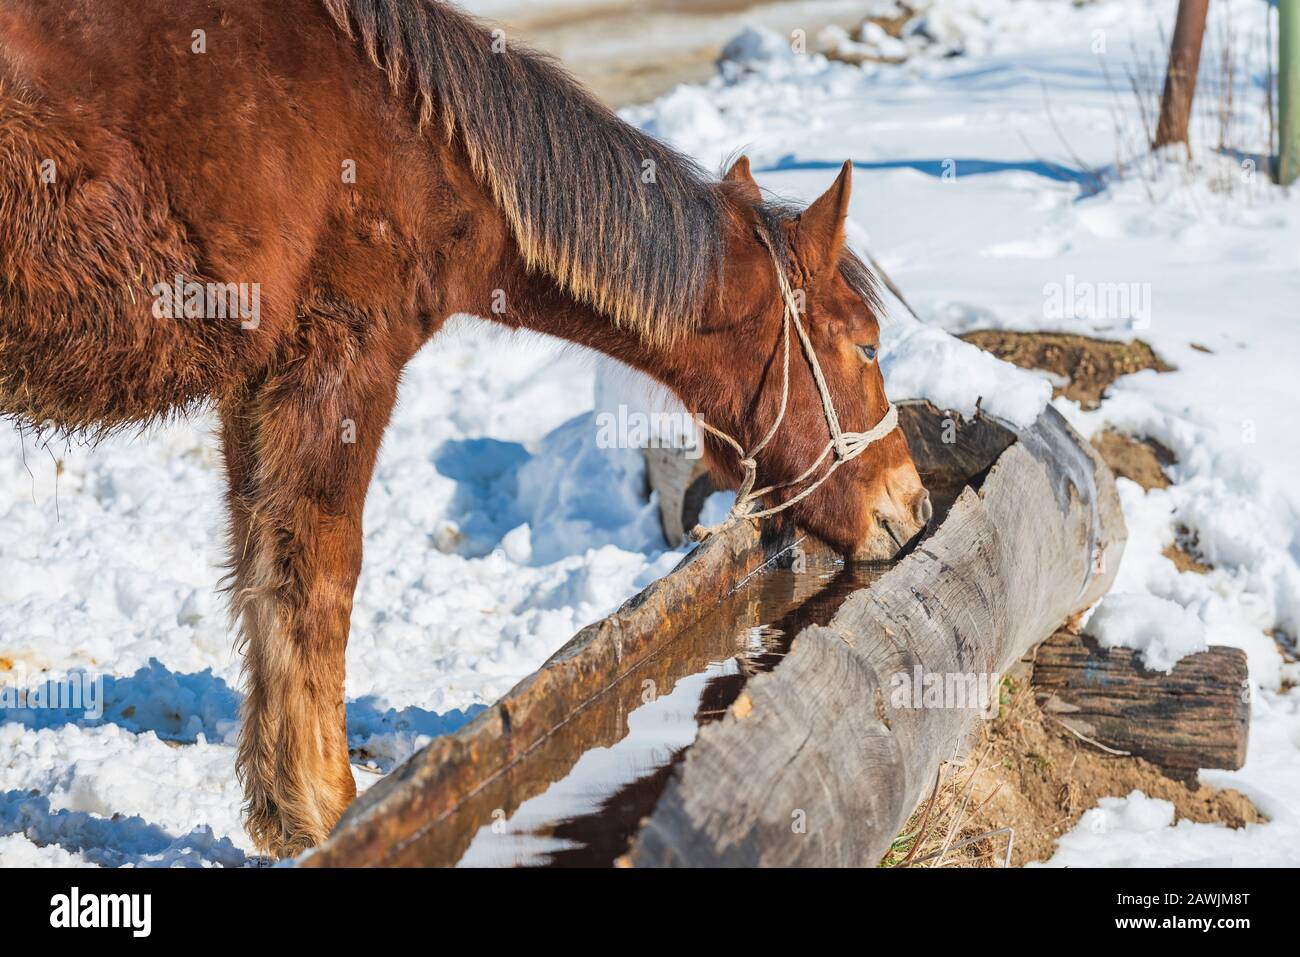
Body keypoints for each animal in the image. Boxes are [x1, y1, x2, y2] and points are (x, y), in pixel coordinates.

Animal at [2, 0, 935, 858]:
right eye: (867, 343)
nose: (914, 505)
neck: (408, 137)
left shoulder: (255, 384)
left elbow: (260, 573)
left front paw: (282, 809)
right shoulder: (340, 359)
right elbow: (319, 578)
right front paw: (329, 810)